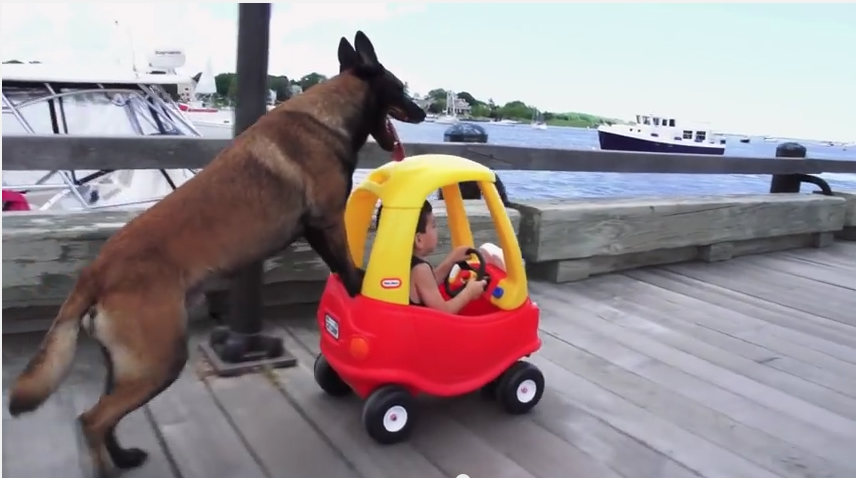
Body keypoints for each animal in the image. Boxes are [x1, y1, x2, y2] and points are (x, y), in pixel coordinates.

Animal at [5, 31, 422, 476]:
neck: (329, 112)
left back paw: (124, 457)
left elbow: (340, 266)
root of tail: (96, 272)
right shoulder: (326, 223)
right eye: (400, 87)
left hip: (126, 366)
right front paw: (363, 292)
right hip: (159, 361)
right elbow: (345, 265)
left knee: (106, 415)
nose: (420, 112)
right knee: (93, 420)